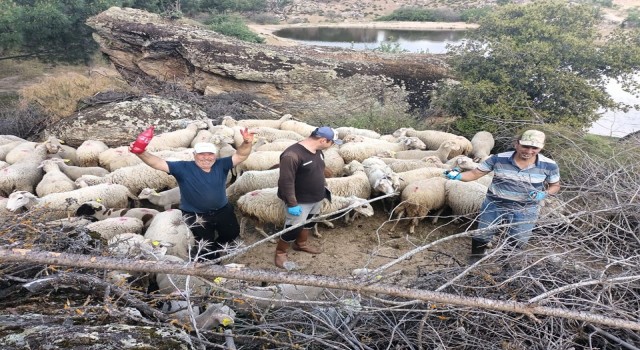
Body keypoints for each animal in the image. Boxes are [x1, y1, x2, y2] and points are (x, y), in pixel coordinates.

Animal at [236, 187, 376, 239]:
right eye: (364, 206)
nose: (372, 215)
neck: (331, 202)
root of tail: (242, 200)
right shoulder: (315, 214)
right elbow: (317, 223)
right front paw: (319, 232)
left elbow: (320, 220)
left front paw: (328, 224)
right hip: (260, 216)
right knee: (258, 228)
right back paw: (271, 240)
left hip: (251, 214)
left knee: (243, 220)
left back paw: (241, 233)